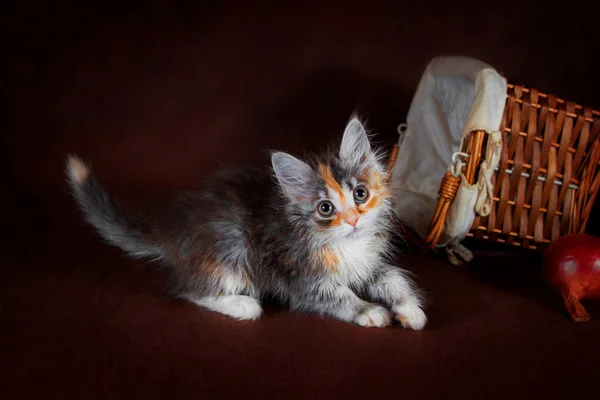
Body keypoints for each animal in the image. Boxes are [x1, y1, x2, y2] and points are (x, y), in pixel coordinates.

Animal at [67, 117, 426, 330]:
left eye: (360, 194)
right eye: (325, 208)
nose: (353, 219)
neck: (345, 244)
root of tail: (171, 233)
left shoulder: (369, 263)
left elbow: (394, 278)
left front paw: (410, 308)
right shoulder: (302, 279)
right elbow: (340, 296)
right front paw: (370, 311)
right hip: (230, 244)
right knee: (190, 291)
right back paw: (243, 304)